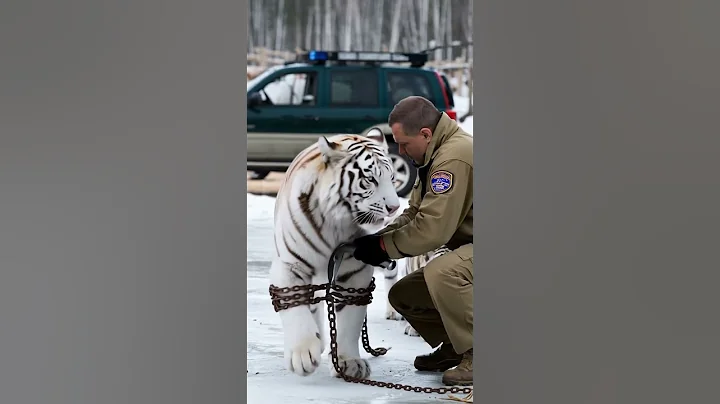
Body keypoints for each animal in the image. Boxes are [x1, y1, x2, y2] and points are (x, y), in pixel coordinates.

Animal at [268, 129, 401, 380]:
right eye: (370, 179)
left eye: (392, 178)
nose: (394, 208)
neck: (336, 224)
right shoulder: (290, 265)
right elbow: (296, 310)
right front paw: (303, 354)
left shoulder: (356, 272)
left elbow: (350, 320)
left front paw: (348, 362)